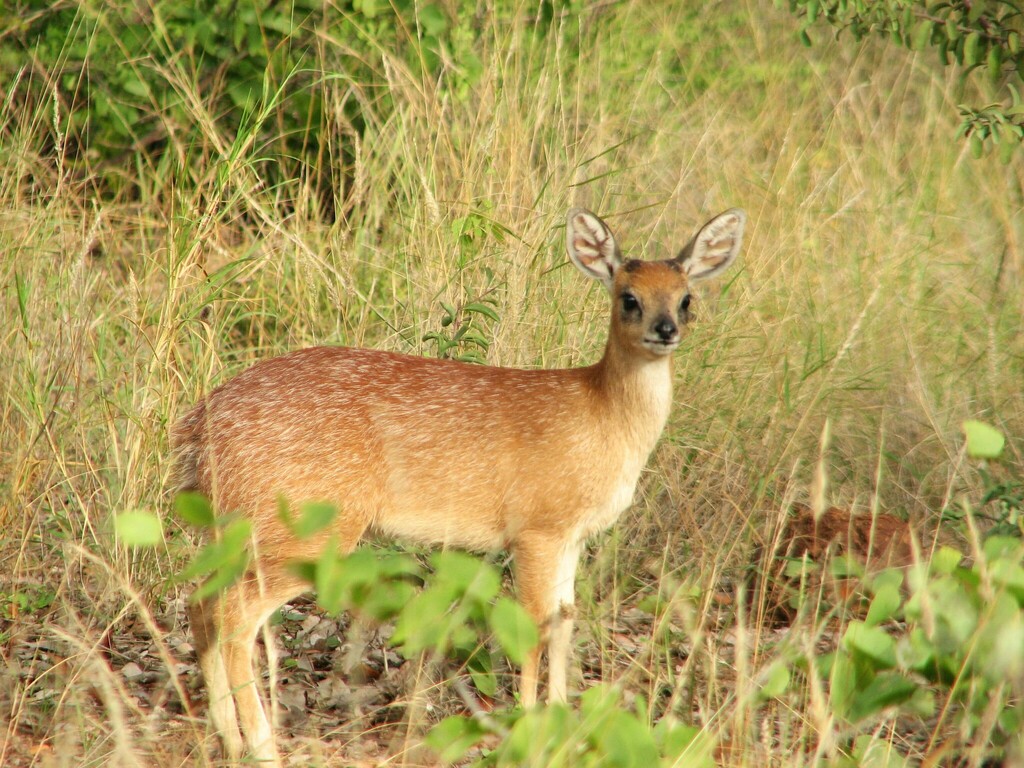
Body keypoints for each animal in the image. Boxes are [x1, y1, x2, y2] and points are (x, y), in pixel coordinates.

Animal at [174, 205, 745, 765]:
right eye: (629, 298)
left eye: (687, 298)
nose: (666, 328)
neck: (603, 416)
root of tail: (201, 426)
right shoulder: (536, 530)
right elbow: (532, 628)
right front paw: (528, 730)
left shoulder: (572, 537)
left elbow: (563, 623)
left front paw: (563, 727)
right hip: (306, 528)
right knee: (235, 615)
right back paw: (262, 745)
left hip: (239, 528)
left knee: (202, 603)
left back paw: (228, 739)